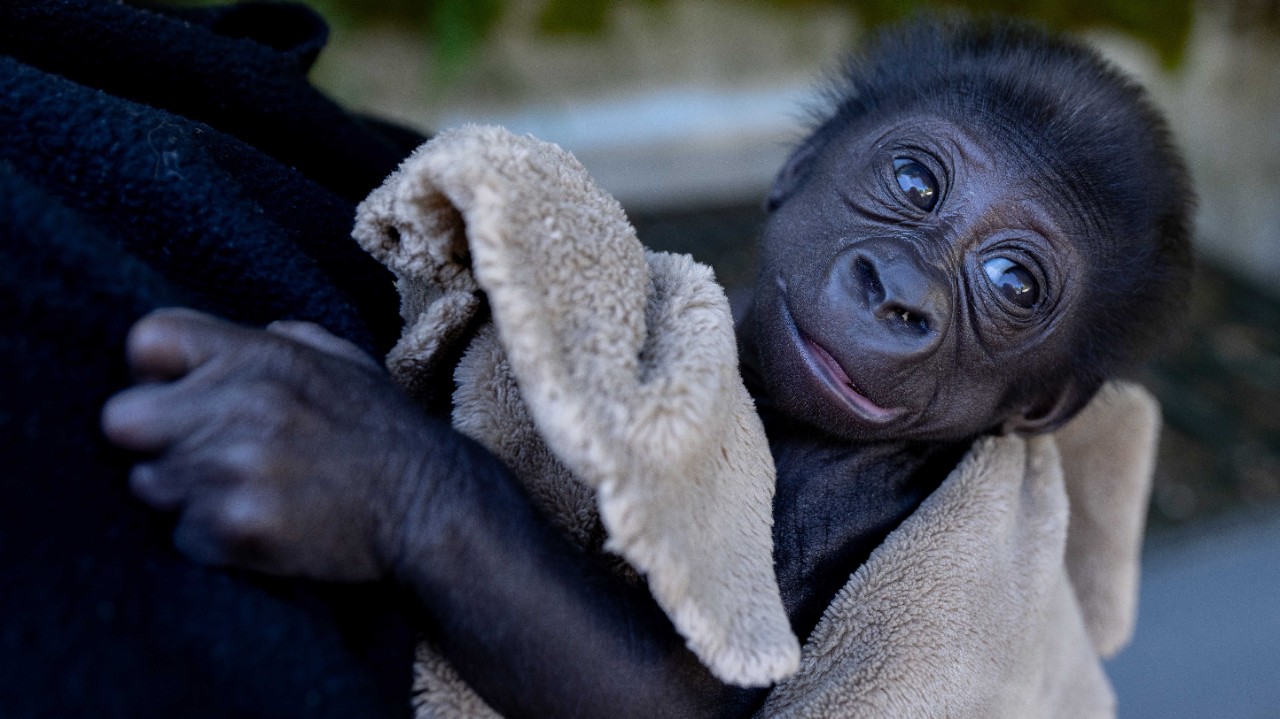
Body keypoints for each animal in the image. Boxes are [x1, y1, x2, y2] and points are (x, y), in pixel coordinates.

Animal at [104, 15, 1192, 716]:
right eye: (915, 182)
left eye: (1011, 281)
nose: (899, 294)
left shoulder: (858, 492)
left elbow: (668, 693)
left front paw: (351, 463)